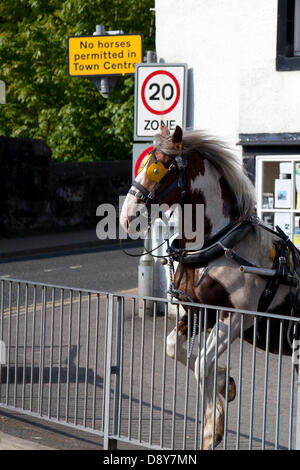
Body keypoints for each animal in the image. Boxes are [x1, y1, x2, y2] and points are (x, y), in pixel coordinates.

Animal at [120, 126, 300, 450]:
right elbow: (174, 349)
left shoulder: (237, 318)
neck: (217, 244)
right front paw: (225, 383)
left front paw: (210, 430)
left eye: (158, 167)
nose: (126, 215)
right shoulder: (196, 311)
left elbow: (202, 362)